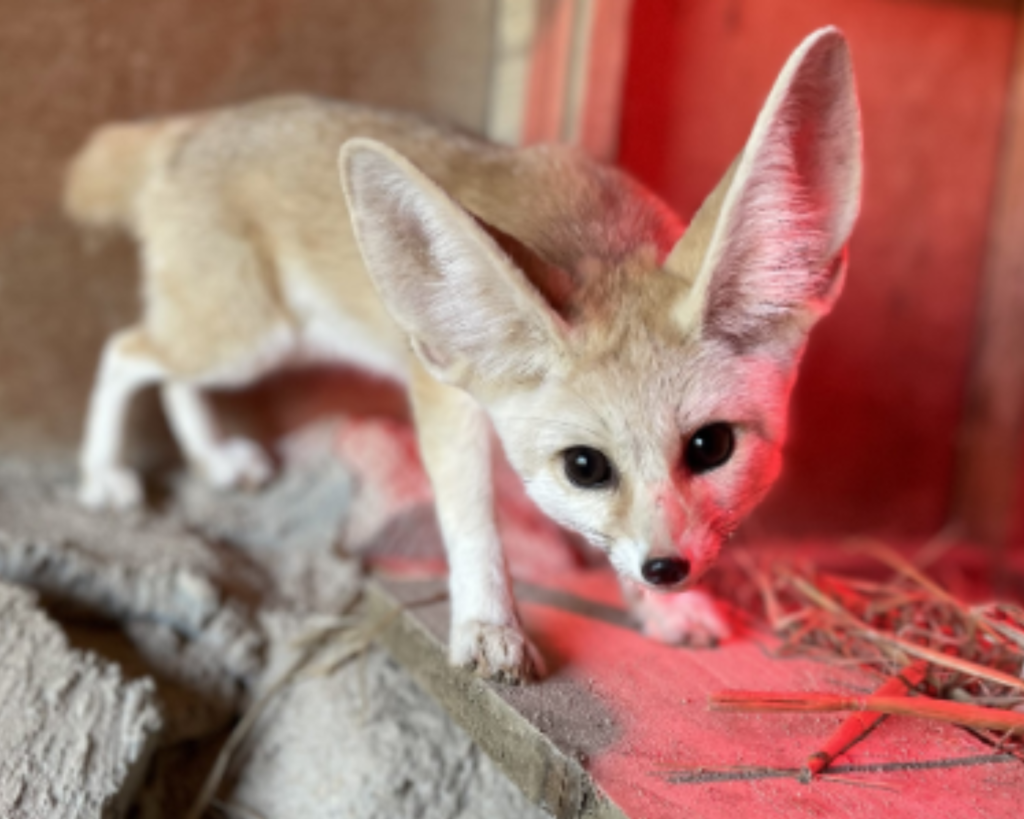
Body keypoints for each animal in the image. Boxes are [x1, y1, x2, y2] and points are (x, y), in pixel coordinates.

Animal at [66, 28, 864, 679]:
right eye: (585, 466)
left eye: (711, 446)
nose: (667, 569)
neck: (594, 233)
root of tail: (191, 127)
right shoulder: (443, 388)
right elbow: (472, 516)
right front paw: (488, 626)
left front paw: (666, 608)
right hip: (243, 338)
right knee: (123, 349)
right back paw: (104, 474)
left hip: (241, 343)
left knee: (160, 368)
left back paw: (212, 459)